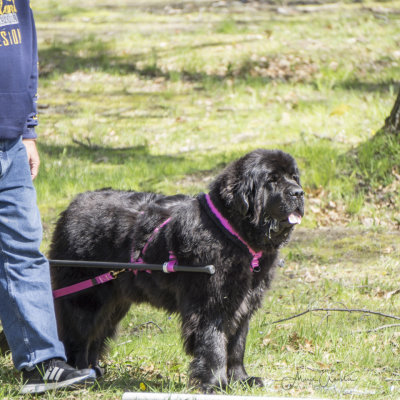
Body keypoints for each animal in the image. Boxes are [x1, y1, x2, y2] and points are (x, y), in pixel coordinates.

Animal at [49, 148, 304, 392]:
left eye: (293, 177)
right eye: (272, 180)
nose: (299, 193)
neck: (230, 232)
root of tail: (71, 207)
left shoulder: (244, 301)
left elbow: (237, 344)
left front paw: (241, 380)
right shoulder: (210, 303)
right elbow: (214, 344)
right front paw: (215, 384)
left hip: (114, 301)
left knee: (98, 333)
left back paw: (95, 370)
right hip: (85, 296)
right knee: (78, 336)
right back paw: (81, 373)